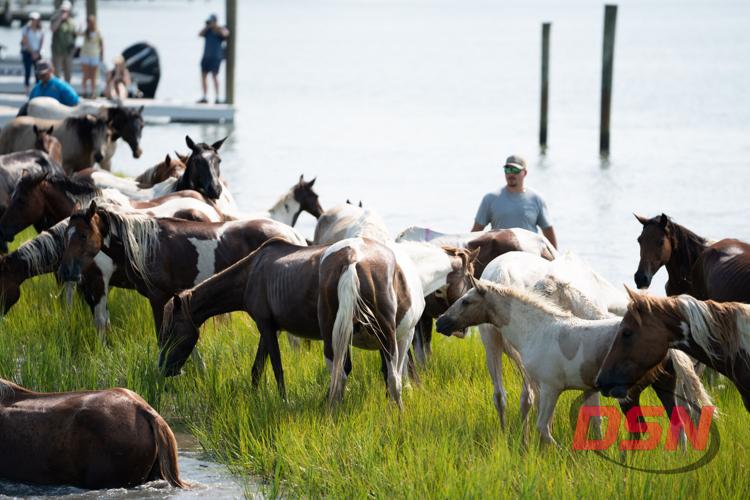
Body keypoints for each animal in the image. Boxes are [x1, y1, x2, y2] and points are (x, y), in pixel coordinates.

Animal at [58, 202, 307, 339]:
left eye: (82, 235)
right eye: (66, 235)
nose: (65, 271)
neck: (147, 245)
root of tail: (292, 234)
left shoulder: (158, 298)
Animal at [159, 236, 428, 408]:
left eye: (171, 331)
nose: (164, 369)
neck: (252, 272)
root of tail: (353, 258)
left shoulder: (267, 327)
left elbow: (275, 368)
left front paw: (282, 401)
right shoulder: (271, 330)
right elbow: (257, 369)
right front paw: (254, 397)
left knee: (345, 377)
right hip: (380, 337)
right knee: (388, 379)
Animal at [436, 280, 711, 444]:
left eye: (466, 301)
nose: (440, 323)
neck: (539, 330)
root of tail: (669, 345)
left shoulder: (551, 388)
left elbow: (543, 428)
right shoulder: (550, 388)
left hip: (629, 393)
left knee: (640, 429)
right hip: (664, 386)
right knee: (679, 428)